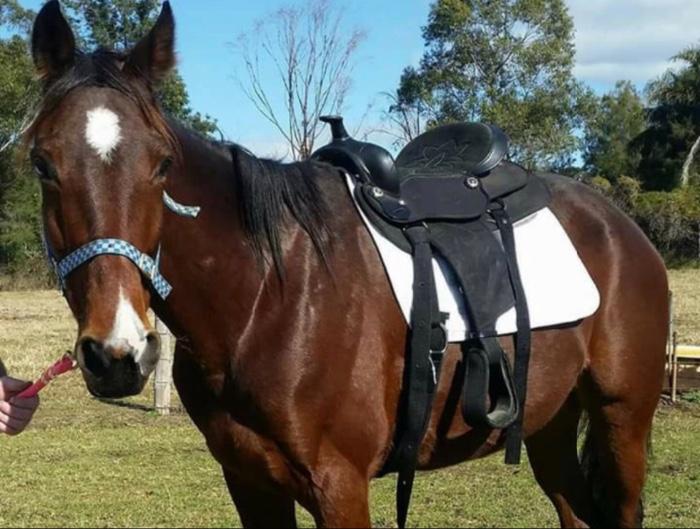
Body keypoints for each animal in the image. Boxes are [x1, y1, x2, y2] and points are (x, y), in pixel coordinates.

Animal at [26, 2, 668, 528]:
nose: (118, 354)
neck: (265, 298)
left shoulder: (339, 486)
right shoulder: (250, 483)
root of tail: (620, 226)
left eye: (162, 165)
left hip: (622, 422)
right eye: (41, 164)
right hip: (549, 425)